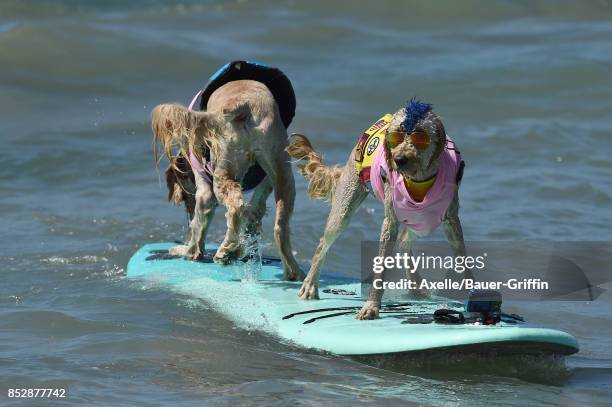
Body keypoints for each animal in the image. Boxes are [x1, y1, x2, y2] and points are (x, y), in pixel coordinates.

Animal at [152, 74, 304, 284]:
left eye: (184, 198)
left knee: (235, 207)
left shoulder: (204, 192)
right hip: (282, 170)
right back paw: (293, 271)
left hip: (223, 169)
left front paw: (187, 251)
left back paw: (226, 251)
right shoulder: (267, 182)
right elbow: (254, 212)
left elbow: (197, 230)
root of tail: (244, 106)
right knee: (280, 226)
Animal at [286, 99, 468, 318]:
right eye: (396, 137)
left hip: (423, 221)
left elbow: (463, 259)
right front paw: (371, 306)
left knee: (405, 241)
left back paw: (416, 287)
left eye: (420, 136)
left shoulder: (451, 220)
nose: (399, 160)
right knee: (324, 242)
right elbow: (381, 264)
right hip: (345, 204)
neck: (419, 179)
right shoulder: (390, 221)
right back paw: (310, 285)